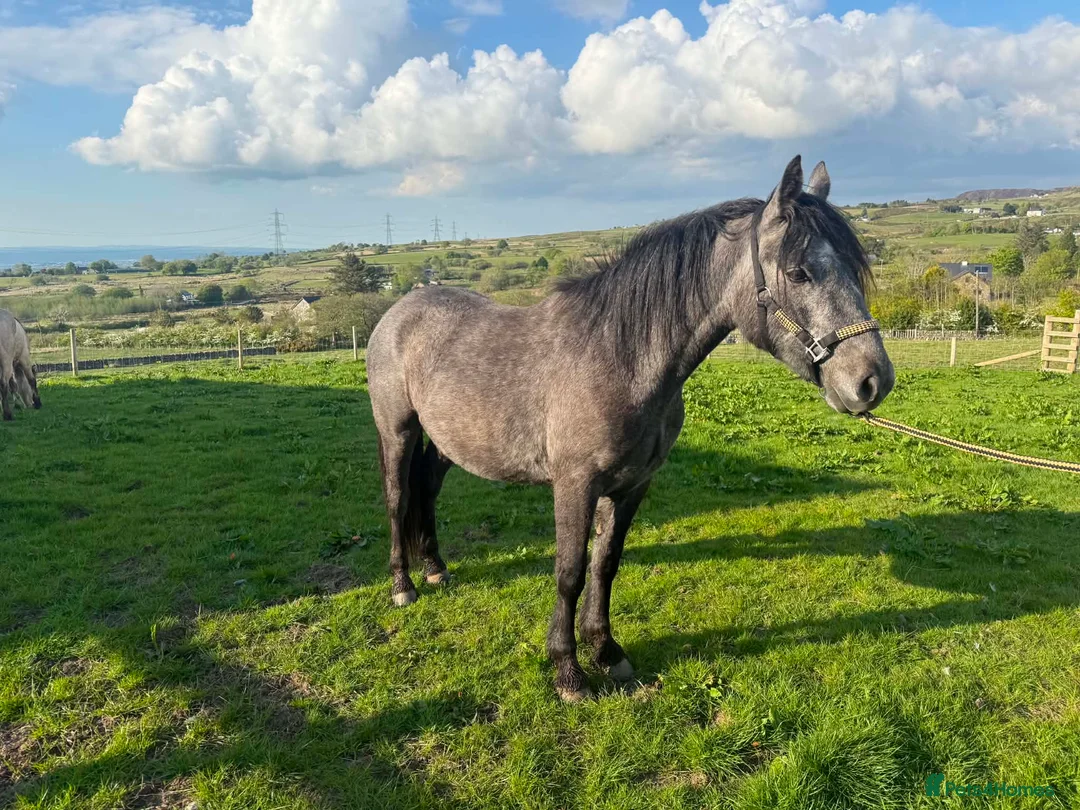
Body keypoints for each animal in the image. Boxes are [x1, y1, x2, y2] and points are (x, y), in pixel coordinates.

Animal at [366, 156, 894, 701]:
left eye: (854, 268)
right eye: (797, 272)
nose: (872, 381)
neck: (620, 356)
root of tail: (398, 312)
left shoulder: (631, 486)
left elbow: (606, 565)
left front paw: (606, 652)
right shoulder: (574, 485)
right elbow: (570, 572)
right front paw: (569, 672)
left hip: (448, 442)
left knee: (427, 490)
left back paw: (435, 568)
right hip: (397, 431)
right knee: (398, 498)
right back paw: (403, 585)